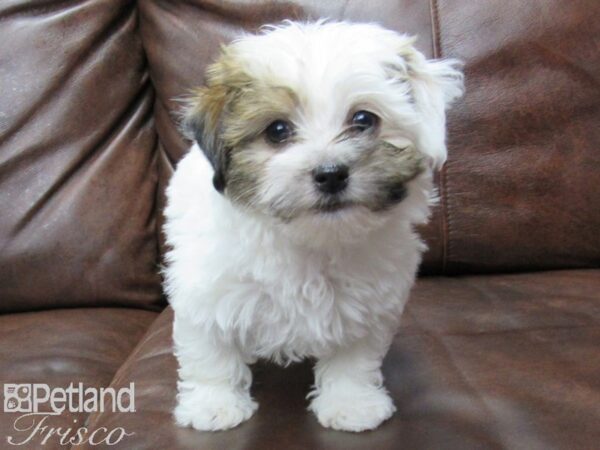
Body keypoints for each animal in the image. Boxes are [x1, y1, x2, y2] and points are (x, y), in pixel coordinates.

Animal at [164, 20, 464, 432]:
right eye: (277, 130)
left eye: (363, 120)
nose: (331, 173)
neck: (313, 238)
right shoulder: (207, 290)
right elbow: (210, 350)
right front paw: (215, 405)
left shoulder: (366, 301)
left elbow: (354, 357)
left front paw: (352, 403)